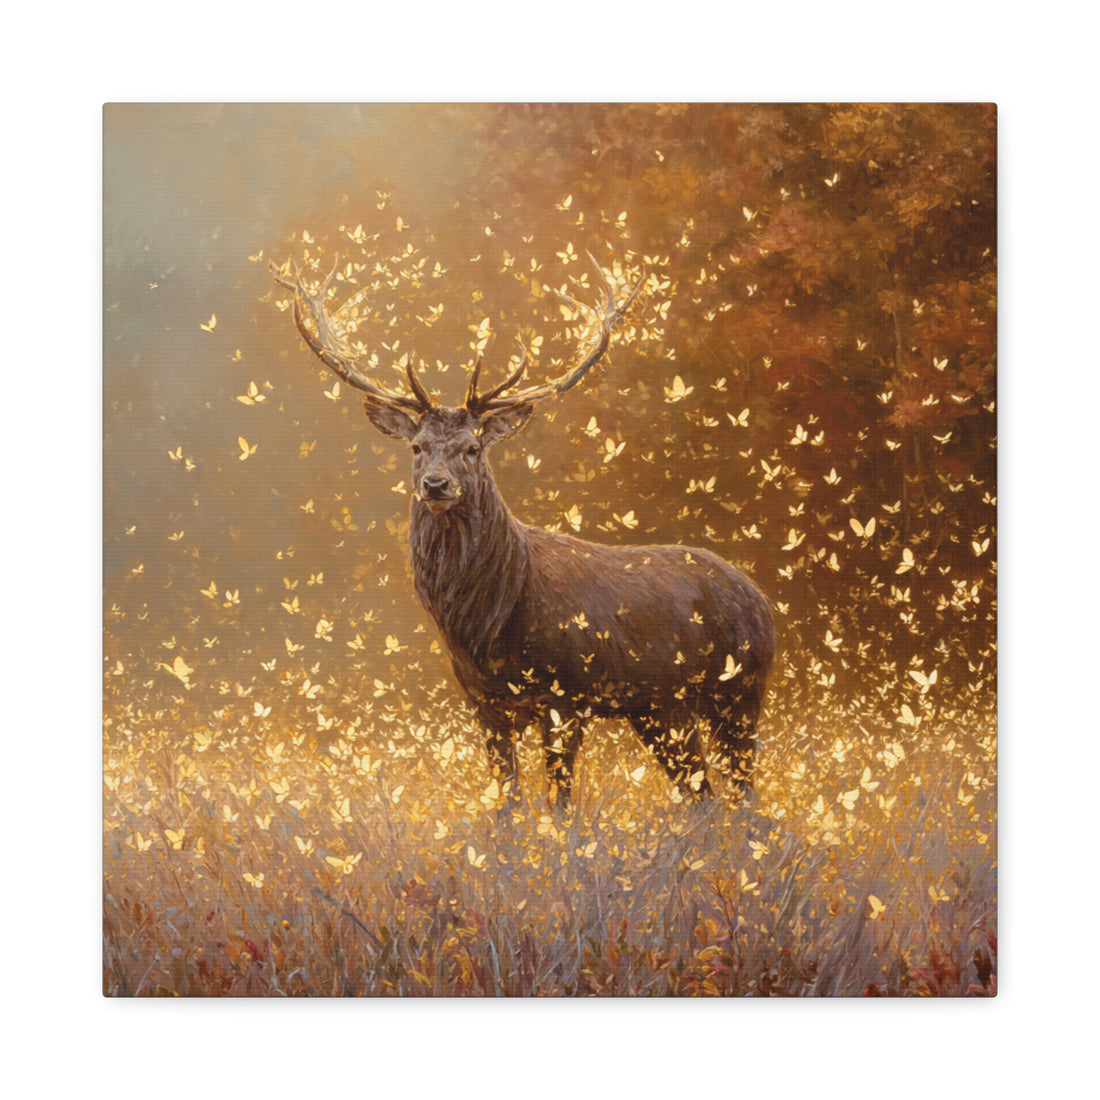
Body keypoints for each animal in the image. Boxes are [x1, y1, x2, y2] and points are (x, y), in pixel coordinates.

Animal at [271, 254, 774, 807]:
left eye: (473, 447)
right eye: (417, 446)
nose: (435, 484)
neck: (490, 626)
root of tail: (762, 599)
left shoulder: (567, 695)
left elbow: (560, 804)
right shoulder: (483, 701)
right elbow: (507, 801)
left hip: (740, 691)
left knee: (745, 795)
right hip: (662, 709)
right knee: (703, 795)